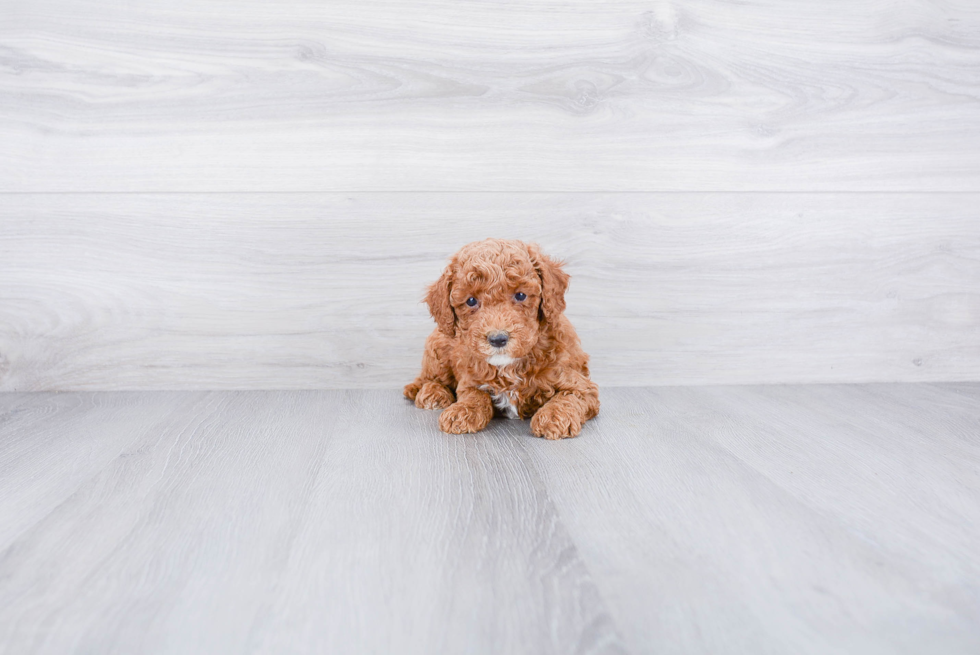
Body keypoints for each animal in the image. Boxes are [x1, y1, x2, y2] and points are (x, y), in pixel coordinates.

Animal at [404, 240, 596, 440]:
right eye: (471, 301)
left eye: (520, 295)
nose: (498, 339)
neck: (508, 366)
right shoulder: (469, 379)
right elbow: (474, 395)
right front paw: (462, 411)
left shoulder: (579, 383)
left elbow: (569, 396)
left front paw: (552, 417)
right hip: (438, 348)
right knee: (427, 378)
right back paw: (433, 393)